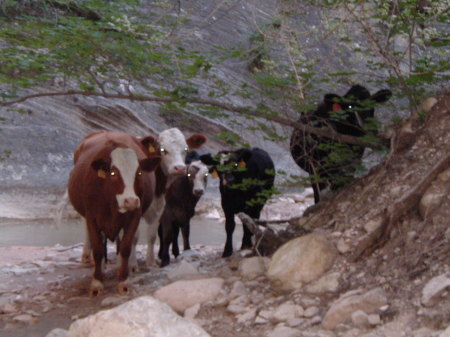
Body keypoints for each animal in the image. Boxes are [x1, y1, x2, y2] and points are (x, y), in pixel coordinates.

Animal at [68, 131, 162, 294]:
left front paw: (124, 281)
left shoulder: (134, 216)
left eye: (139, 172)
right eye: (113, 173)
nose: (130, 201)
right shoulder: (92, 218)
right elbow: (98, 249)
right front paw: (96, 283)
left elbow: (125, 247)